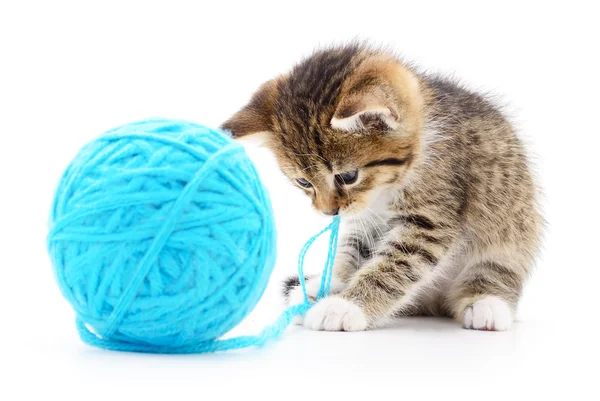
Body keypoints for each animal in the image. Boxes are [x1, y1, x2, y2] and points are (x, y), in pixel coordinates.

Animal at [220, 43, 544, 332]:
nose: (328, 212)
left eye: (348, 176)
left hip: (511, 232)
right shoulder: (364, 219)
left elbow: (395, 266)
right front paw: (332, 283)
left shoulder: (431, 217)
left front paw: (345, 306)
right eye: (303, 182)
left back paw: (487, 304)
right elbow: (352, 248)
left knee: (495, 270)